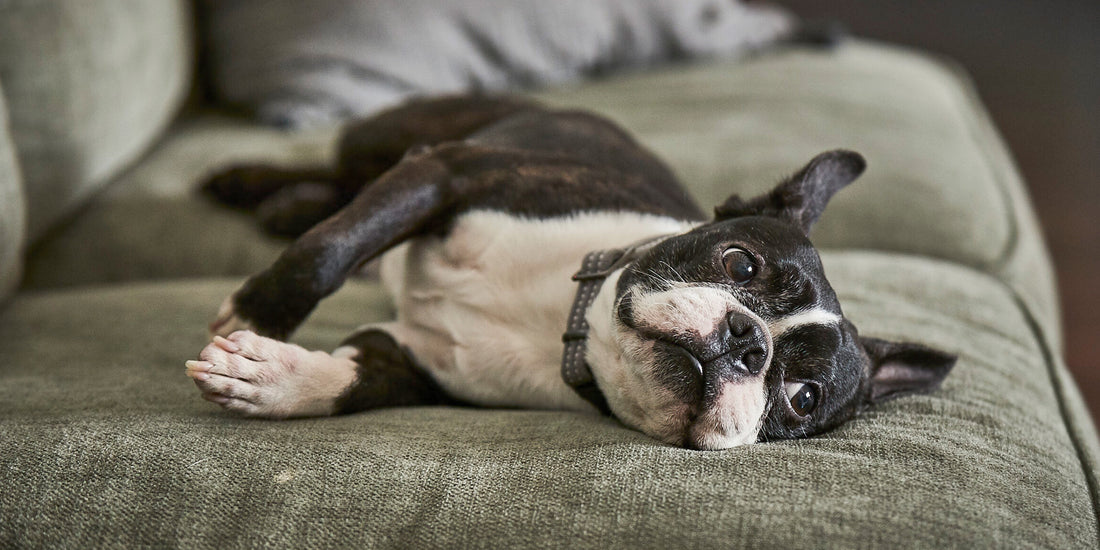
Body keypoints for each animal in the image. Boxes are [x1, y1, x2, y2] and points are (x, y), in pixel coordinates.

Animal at [187, 95, 954, 451]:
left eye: (802, 397)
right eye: (740, 261)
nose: (747, 342)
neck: (570, 325)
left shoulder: (421, 362)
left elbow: (356, 381)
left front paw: (268, 377)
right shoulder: (448, 174)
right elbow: (329, 251)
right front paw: (260, 315)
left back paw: (284, 203)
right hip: (402, 139)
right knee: (343, 177)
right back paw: (251, 181)